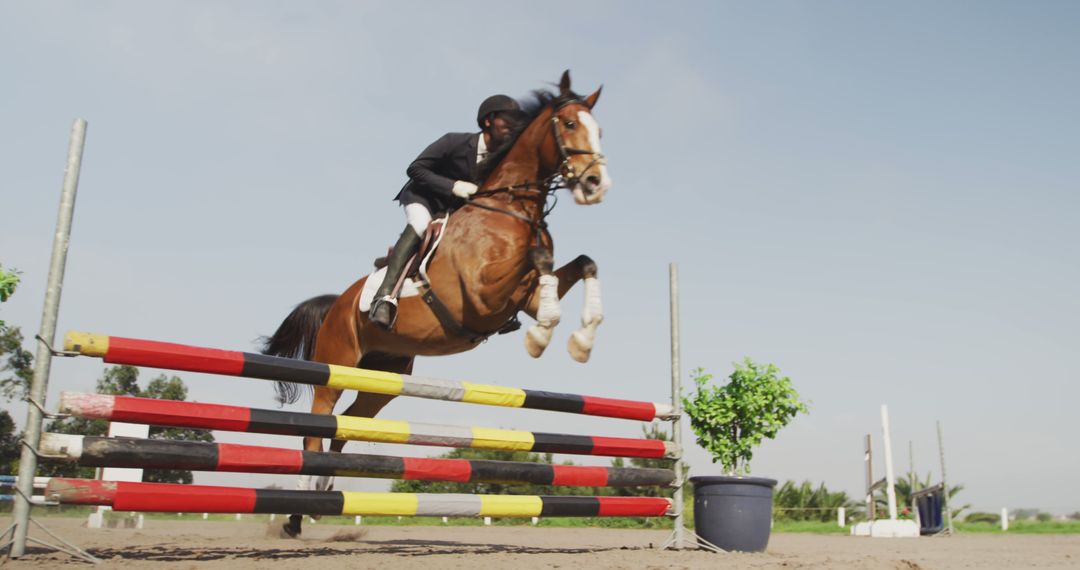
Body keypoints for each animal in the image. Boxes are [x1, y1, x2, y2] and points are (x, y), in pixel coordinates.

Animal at [262, 71, 613, 539]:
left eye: (599, 129)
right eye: (570, 125)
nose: (596, 185)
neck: (509, 207)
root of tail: (338, 304)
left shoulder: (524, 296)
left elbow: (581, 264)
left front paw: (581, 341)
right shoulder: (482, 294)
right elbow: (541, 262)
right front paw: (541, 338)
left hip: (382, 379)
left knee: (346, 426)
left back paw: (321, 500)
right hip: (336, 367)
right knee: (315, 431)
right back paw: (295, 517)